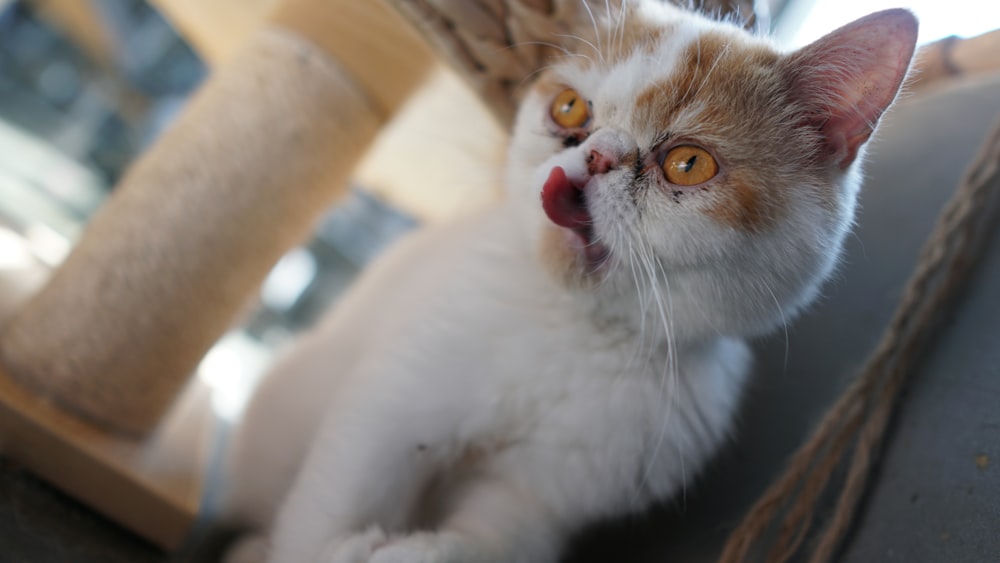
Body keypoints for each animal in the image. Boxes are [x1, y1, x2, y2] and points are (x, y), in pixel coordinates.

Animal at [223, 2, 916, 560]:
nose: (597, 153)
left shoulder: (547, 494)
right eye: (569, 108)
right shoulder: (395, 397)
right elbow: (336, 496)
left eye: (688, 163)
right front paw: (334, 543)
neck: (579, 331)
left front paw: (405, 551)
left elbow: (495, 539)